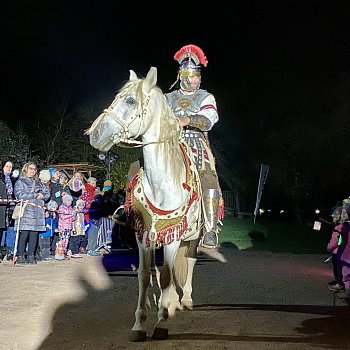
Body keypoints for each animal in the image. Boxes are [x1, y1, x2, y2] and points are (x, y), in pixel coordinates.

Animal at [87, 66, 223, 342]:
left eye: (130, 101)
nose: (95, 134)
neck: (163, 182)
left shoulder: (173, 236)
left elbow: (169, 274)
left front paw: (161, 322)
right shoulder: (144, 234)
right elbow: (145, 275)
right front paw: (139, 325)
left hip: (193, 236)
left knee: (189, 262)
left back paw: (185, 300)